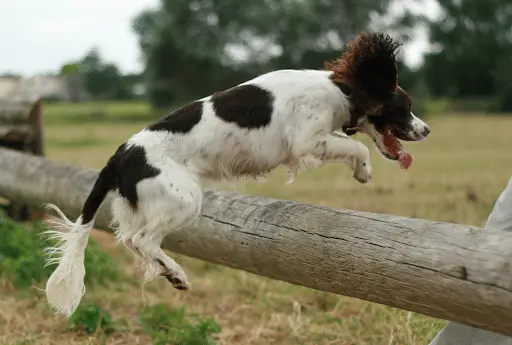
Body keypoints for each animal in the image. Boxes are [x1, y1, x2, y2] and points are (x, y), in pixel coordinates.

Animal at [42, 30, 430, 316]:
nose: (426, 130)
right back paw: (177, 274)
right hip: (184, 199)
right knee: (142, 240)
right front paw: (363, 171)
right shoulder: (307, 141)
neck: (341, 89)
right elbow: (357, 147)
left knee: (129, 240)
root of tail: (121, 155)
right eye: (404, 107)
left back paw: (169, 273)